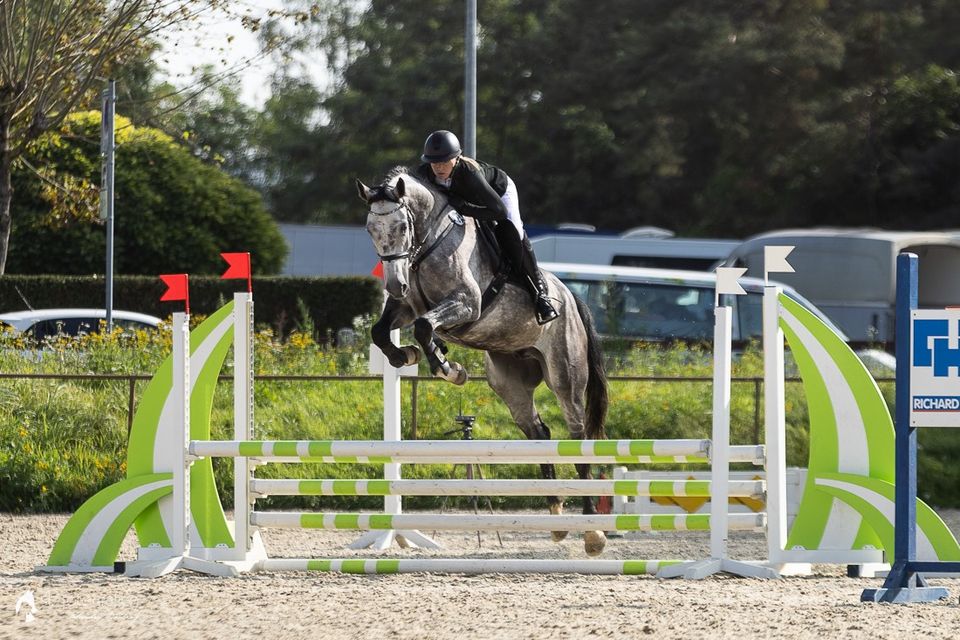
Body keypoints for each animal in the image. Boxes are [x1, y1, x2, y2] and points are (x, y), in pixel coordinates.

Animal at [356, 168, 612, 552]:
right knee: (539, 432)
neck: (427, 244)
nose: (394, 285)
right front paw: (409, 355)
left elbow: (424, 326)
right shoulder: (406, 307)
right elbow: (382, 331)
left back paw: (593, 530)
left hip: (565, 377)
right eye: (371, 228)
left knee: (576, 436)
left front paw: (449, 369)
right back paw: (556, 516)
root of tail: (570, 296)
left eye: (401, 226)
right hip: (510, 381)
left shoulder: (466, 304)